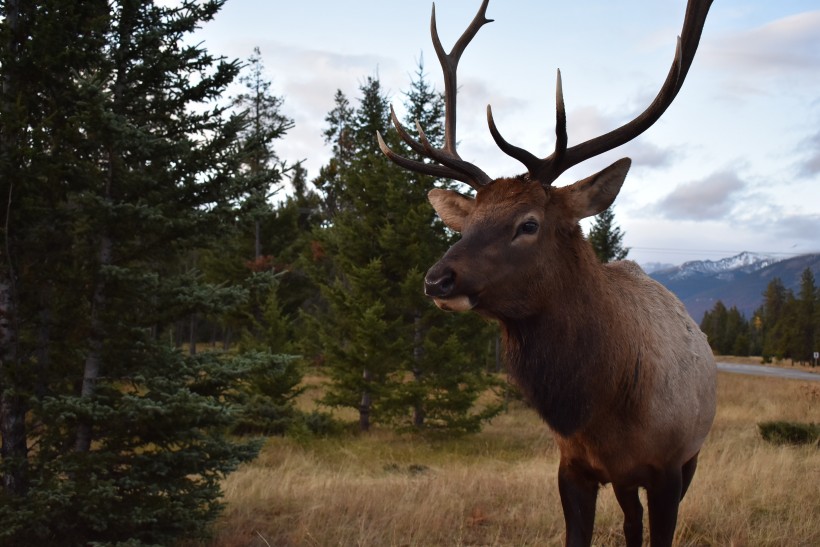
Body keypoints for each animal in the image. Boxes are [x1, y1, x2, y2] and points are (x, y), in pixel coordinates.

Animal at [378, 1, 716, 547]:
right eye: (468, 221)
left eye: (528, 224)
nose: (436, 280)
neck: (607, 410)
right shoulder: (573, 465)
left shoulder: (669, 467)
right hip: (626, 481)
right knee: (631, 521)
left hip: (690, 456)